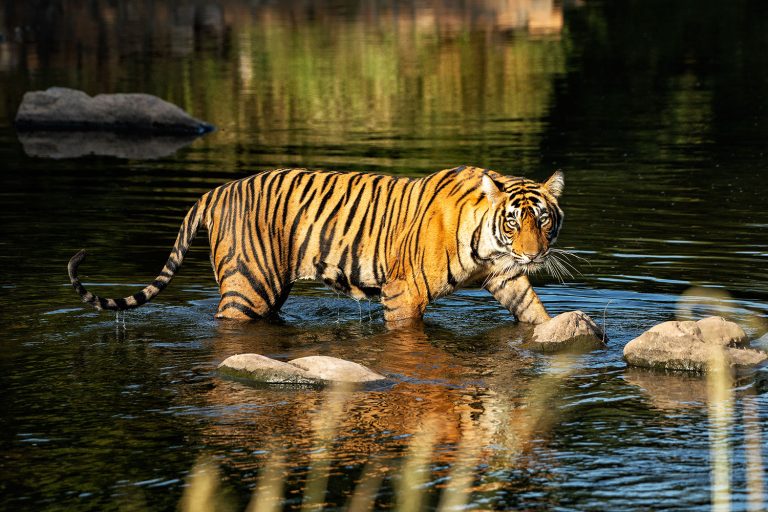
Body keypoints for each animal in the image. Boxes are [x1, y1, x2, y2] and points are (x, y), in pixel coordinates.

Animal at [68, 165, 565, 325]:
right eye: (514, 221)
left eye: (542, 219)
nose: (533, 254)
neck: (489, 243)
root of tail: (218, 190)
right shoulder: (404, 293)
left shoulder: (505, 276)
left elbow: (532, 310)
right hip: (248, 288)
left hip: (269, 290)